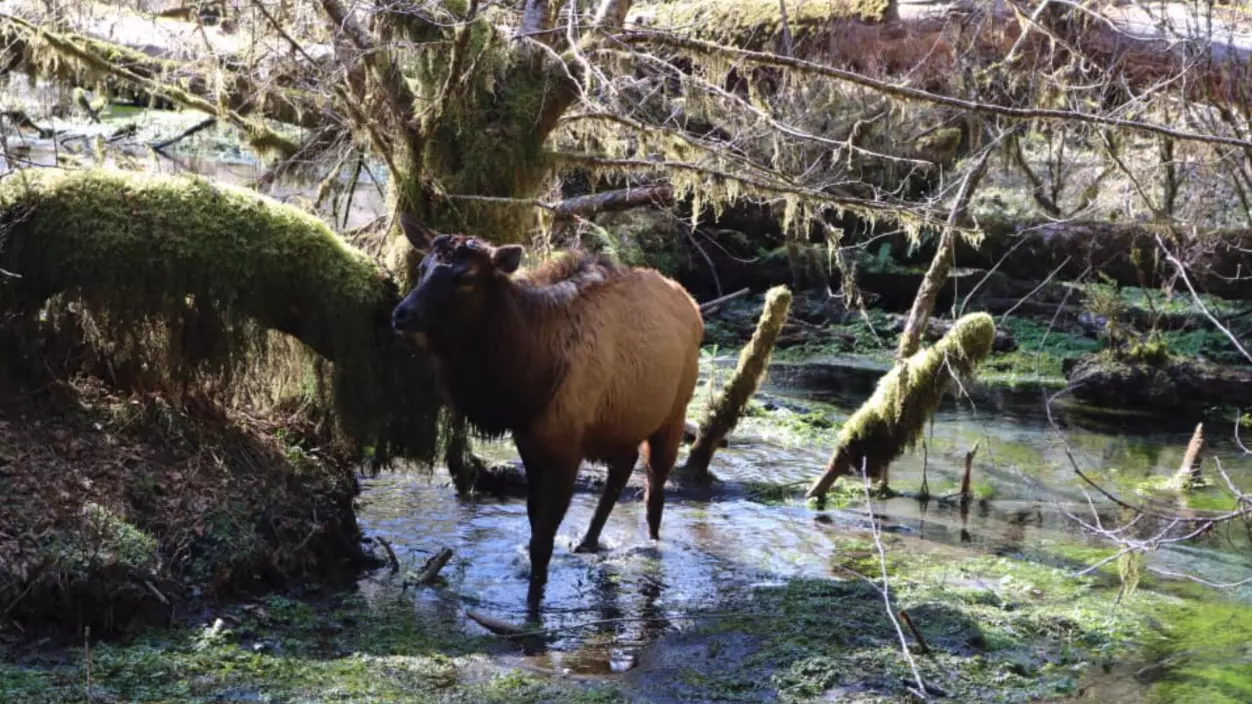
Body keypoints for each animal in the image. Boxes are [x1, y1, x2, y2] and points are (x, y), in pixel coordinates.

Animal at [390, 216, 706, 611]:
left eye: (467, 277)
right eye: (422, 268)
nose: (402, 314)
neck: (530, 376)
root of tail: (691, 302)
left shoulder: (566, 447)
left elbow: (541, 544)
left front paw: (534, 607)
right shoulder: (530, 441)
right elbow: (533, 523)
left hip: (673, 413)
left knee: (655, 489)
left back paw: (651, 543)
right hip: (618, 424)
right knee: (623, 467)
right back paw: (588, 541)